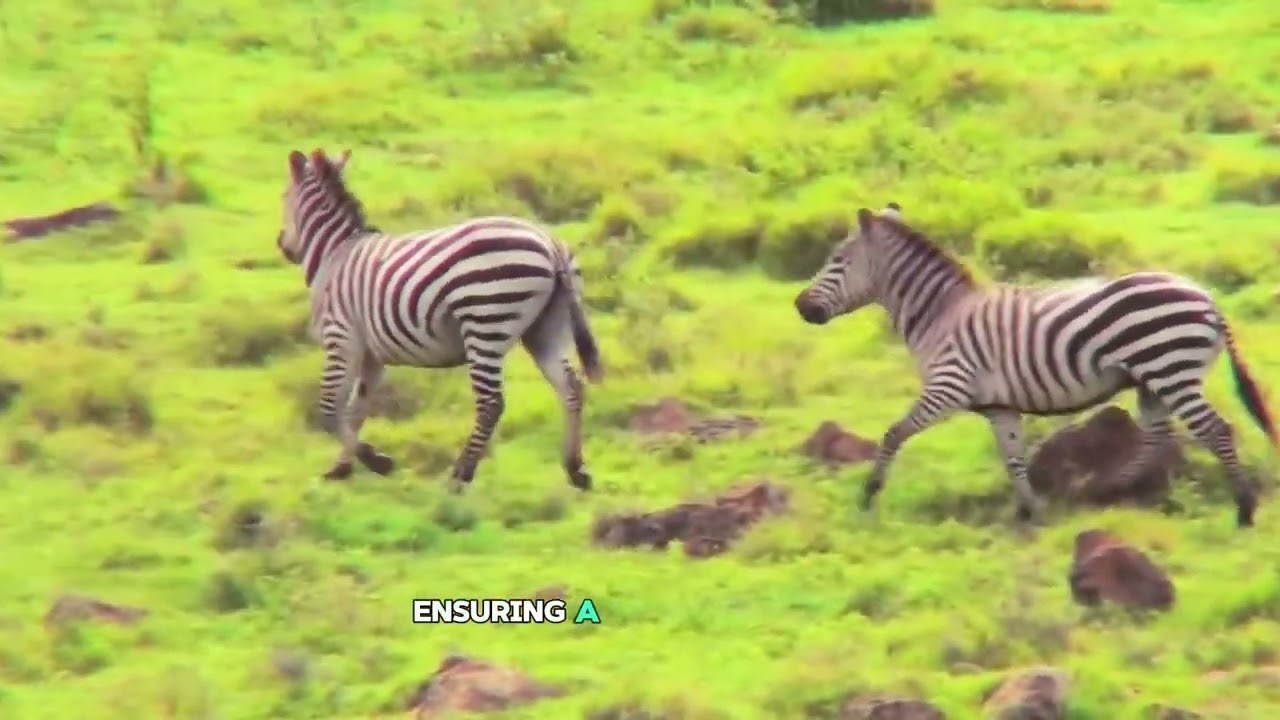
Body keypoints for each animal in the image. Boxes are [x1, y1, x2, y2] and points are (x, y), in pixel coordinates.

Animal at [276, 148, 604, 492]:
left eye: (284, 196)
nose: (282, 245)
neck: (335, 253)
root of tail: (550, 244)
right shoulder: (372, 355)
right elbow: (356, 409)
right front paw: (343, 466)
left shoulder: (340, 337)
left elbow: (329, 409)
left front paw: (376, 461)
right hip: (545, 329)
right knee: (570, 387)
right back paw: (575, 468)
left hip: (485, 321)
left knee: (491, 404)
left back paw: (461, 474)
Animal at [794, 202, 1277, 527]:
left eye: (837, 261)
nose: (801, 306)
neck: (939, 313)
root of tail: (1209, 299)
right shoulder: (999, 407)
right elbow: (1014, 460)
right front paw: (1031, 513)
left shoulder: (947, 388)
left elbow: (894, 433)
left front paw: (868, 495)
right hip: (1152, 381)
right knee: (1158, 439)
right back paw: (1126, 492)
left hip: (1171, 371)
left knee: (1217, 430)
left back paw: (1244, 509)